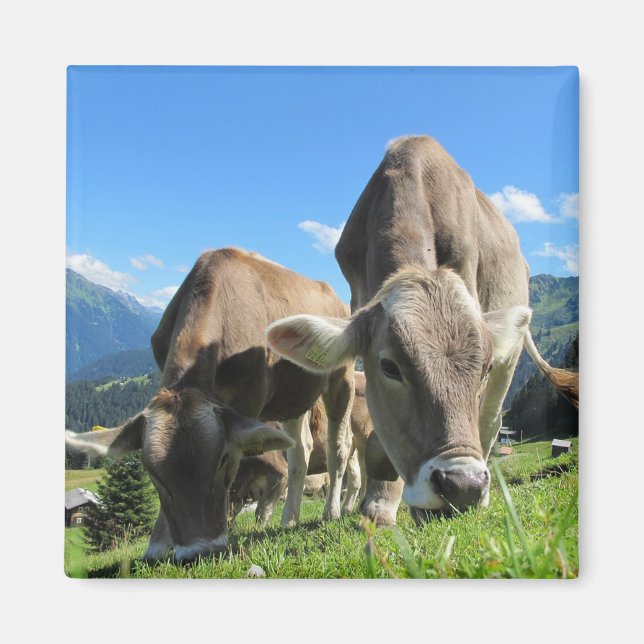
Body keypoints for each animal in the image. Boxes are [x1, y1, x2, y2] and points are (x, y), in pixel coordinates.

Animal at [66, 248, 355, 561]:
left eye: (223, 460)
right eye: (152, 472)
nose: (198, 552)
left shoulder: (248, 401)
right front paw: (157, 545)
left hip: (342, 377)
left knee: (339, 447)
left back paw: (332, 511)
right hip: (293, 396)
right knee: (300, 450)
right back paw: (289, 518)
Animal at [266, 135, 578, 525]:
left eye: (483, 367)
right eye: (389, 367)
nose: (464, 486)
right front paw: (379, 503)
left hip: (511, 357)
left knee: (490, 421)